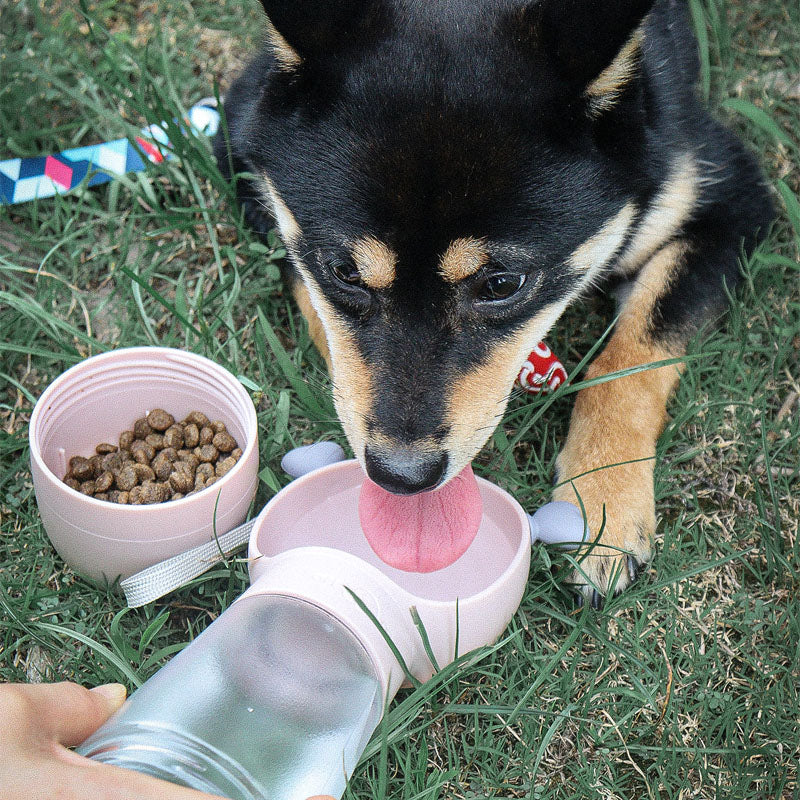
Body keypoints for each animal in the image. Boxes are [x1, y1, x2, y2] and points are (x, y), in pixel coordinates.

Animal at [214, 0, 776, 600]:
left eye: (503, 285)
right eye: (343, 270)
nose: (401, 476)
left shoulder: (732, 199)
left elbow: (632, 358)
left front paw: (604, 498)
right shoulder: (242, 144)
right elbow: (316, 307)